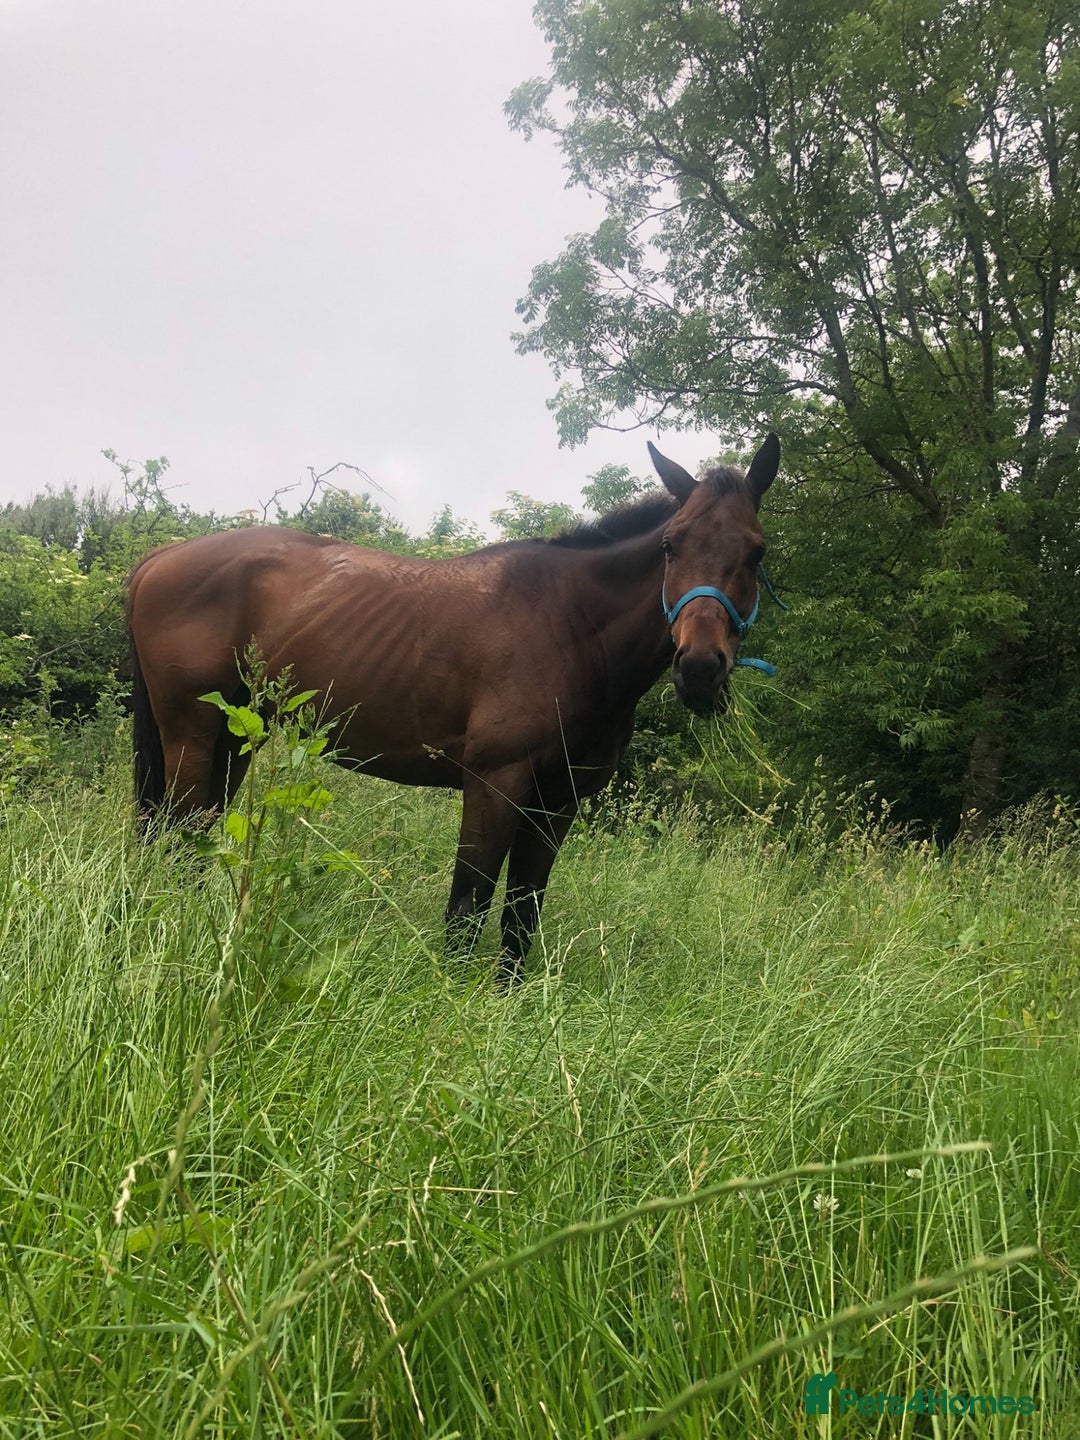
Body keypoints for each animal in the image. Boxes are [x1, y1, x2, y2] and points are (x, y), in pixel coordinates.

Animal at [127, 435, 780, 982]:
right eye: (671, 545)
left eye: (756, 553)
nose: (700, 669)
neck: (571, 627)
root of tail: (160, 558)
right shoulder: (495, 782)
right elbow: (469, 904)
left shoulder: (559, 799)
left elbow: (521, 912)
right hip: (191, 736)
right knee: (179, 835)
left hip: (236, 738)